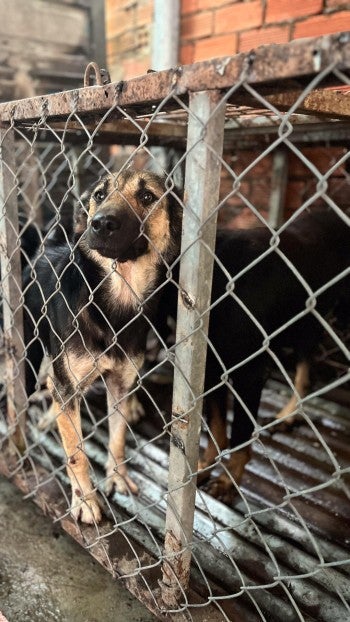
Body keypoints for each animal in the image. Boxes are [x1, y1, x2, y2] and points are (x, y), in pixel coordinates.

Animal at [23, 168, 182, 524]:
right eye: (99, 194)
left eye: (148, 196)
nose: (101, 223)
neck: (114, 305)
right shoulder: (66, 382)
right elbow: (75, 452)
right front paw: (84, 500)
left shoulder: (120, 384)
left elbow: (118, 437)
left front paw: (117, 476)